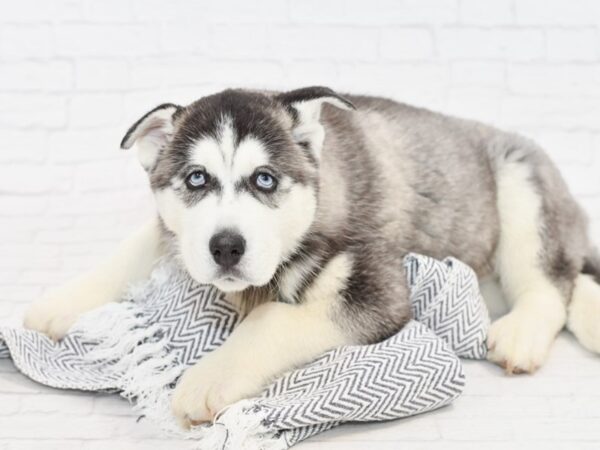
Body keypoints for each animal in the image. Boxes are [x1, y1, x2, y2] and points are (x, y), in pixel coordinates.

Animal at [25, 87, 600, 426]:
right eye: (196, 179)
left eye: (265, 180)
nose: (226, 247)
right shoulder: (177, 233)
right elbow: (136, 247)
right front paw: (58, 305)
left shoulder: (378, 289)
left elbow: (274, 318)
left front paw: (209, 378)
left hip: (522, 184)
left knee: (553, 281)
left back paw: (524, 331)